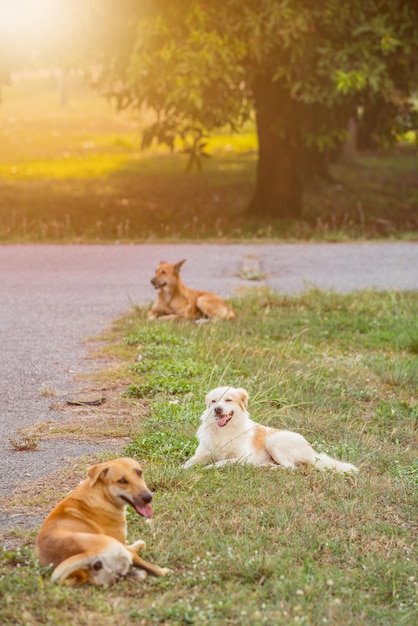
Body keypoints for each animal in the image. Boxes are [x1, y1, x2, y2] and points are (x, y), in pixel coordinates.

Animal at [36, 456, 170, 584]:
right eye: (122, 481)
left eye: (139, 472)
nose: (148, 498)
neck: (102, 494)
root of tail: (88, 553)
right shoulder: (121, 542)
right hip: (119, 548)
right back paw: (163, 571)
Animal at [184, 382, 360, 470]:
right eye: (214, 401)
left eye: (228, 400)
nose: (217, 409)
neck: (224, 431)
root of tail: (311, 450)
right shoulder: (202, 453)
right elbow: (189, 463)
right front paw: (181, 469)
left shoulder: (244, 458)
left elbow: (221, 462)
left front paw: (208, 467)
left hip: (273, 442)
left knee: (290, 467)